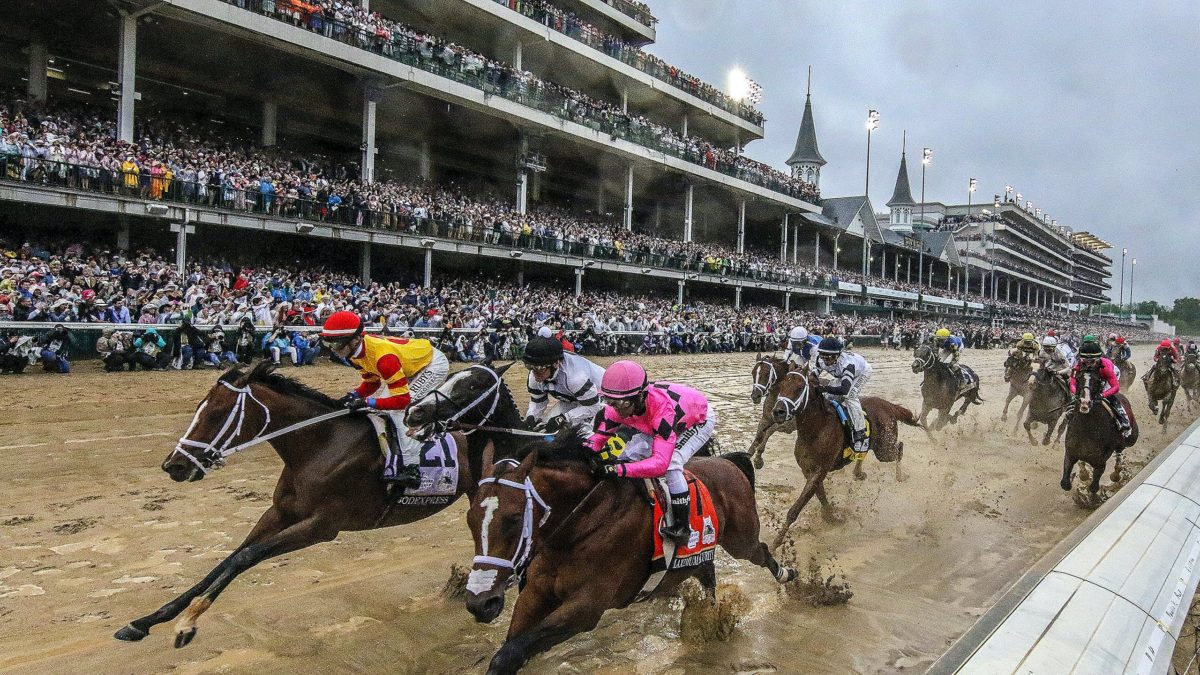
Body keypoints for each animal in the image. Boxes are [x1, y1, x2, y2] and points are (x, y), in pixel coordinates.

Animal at [114, 360, 523, 643]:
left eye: (215, 413)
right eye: (199, 407)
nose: (174, 465)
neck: (320, 447)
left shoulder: (321, 526)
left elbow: (246, 558)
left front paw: (187, 623)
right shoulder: (278, 513)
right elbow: (228, 560)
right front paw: (144, 622)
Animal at [465, 439, 796, 667]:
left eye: (513, 518)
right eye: (470, 519)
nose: (480, 603)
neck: (581, 524)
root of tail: (726, 462)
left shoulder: (587, 607)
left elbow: (512, 650)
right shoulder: (535, 592)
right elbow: (510, 647)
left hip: (741, 540)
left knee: (761, 551)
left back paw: (787, 574)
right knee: (706, 573)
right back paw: (711, 615)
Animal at [768, 362, 916, 547]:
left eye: (800, 387)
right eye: (781, 386)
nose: (778, 412)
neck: (815, 430)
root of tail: (888, 404)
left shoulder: (820, 470)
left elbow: (797, 507)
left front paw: (776, 542)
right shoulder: (808, 470)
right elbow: (821, 496)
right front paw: (832, 518)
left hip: (884, 449)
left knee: (899, 448)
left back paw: (900, 476)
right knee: (866, 451)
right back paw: (859, 473)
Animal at [1065, 365, 1137, 497]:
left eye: (1097, 381)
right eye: (1077, 379)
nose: (1085, 402)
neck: (1086, 429)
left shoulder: (1100, 463)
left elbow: (1094, 487)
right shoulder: (1070, 453)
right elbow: (1065, 483)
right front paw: (1082, 474)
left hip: (1132, 438)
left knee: (1120, 449)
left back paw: (1116, 473)